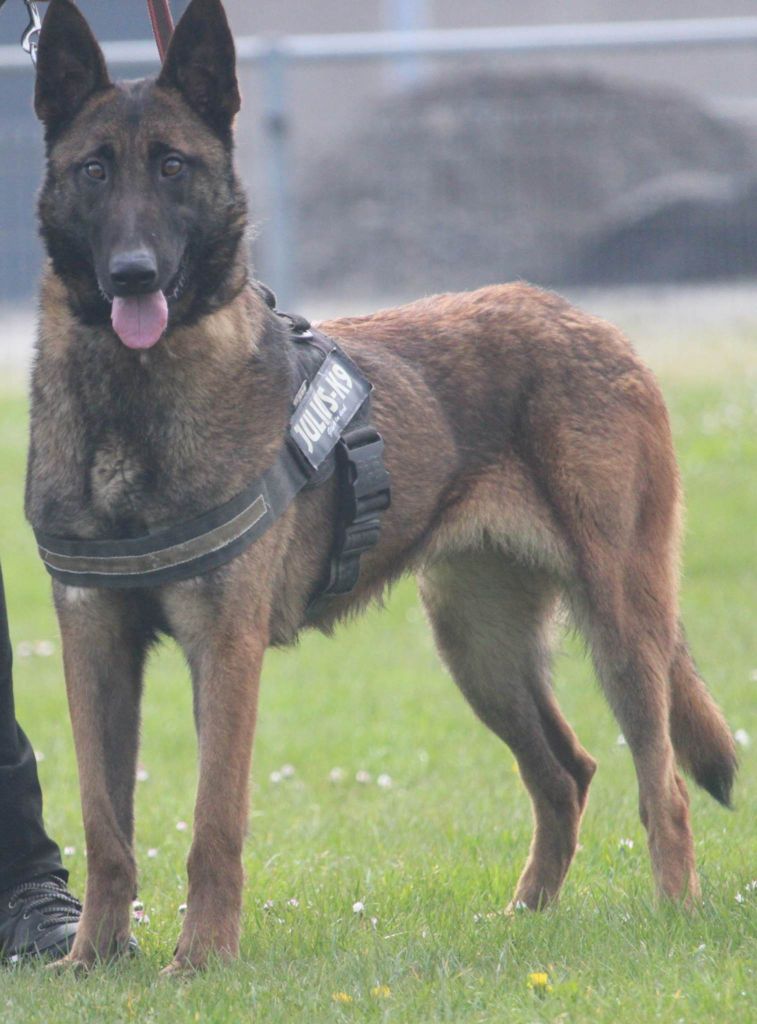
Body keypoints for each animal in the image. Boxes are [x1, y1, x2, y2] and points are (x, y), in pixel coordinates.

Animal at [26, 0, 737, 974]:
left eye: (173, 166)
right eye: (94, 170)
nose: (132, 273)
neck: (131, 405)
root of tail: (590, 322)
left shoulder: (225, 647)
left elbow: (213, 823)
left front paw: (201, 961)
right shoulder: (93, 642)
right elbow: (105, 825)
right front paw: (94, 961)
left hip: (620, 623)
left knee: (658, 781)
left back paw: (671, 918)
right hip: (477, 644)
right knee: (564, 771)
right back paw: (526, 920)